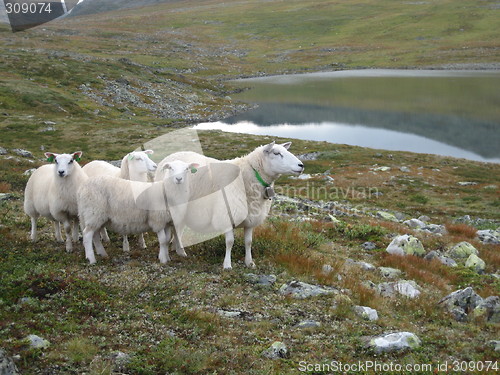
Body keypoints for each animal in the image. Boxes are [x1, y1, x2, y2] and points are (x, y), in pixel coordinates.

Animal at [156, 142, 304, 270]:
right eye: (276, 153)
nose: (301, 165)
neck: (245, 178)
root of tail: (170, 156)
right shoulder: (226, 214)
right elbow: (230, 242)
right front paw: (227, 265)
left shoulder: (251, 218)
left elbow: (248, 242)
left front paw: (249, 262)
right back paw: (166, 255)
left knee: (177, 228)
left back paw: (179, 250)